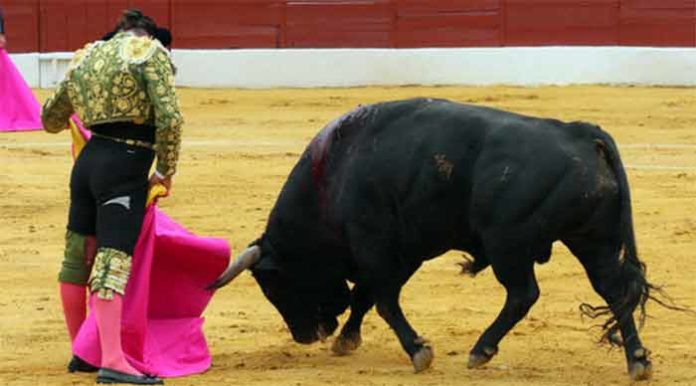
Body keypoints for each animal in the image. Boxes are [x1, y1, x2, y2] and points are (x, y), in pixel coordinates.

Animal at [211, 99, 656, 380]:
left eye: (272, 283)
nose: (305, 336)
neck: (332, 177)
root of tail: (581, 133)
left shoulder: (376, 247)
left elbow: (383, 301)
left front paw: (418, 351)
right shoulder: (403, 252)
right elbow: (365, 297)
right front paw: (346, 340)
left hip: (509, 244)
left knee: (522, 294)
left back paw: (480, 350)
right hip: (592, 240)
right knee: (614, 290)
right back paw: (637, 360)